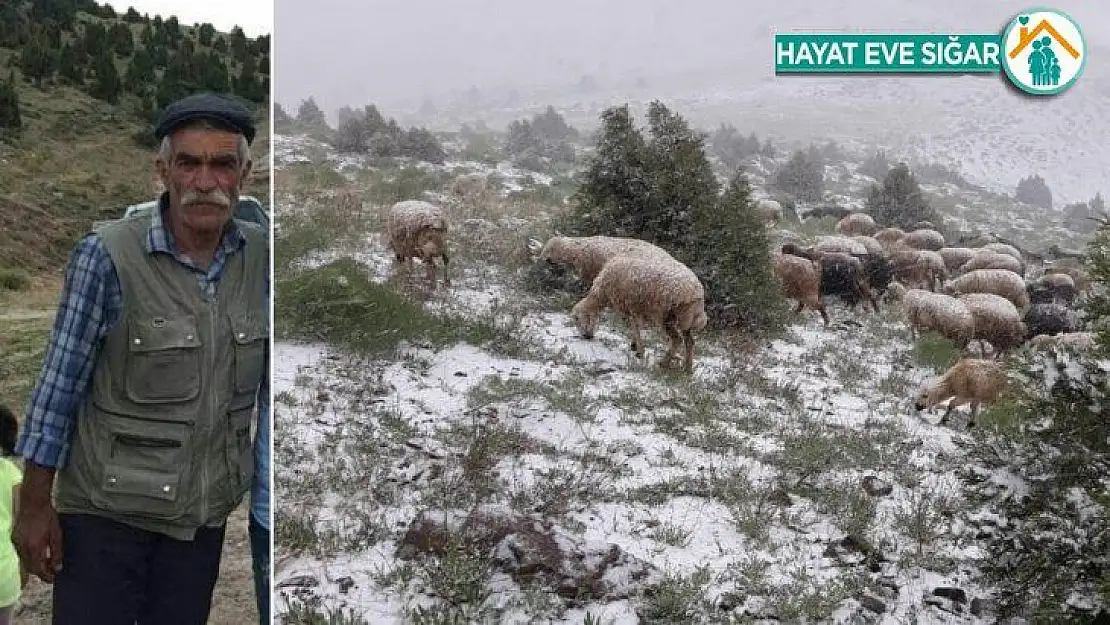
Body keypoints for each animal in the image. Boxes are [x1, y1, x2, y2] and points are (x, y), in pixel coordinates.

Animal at [568, 254, 705, 370]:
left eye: (576, 318)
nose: (586, 336)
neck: (601, 294)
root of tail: (696, 292)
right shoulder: (635, 308)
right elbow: (635, 326)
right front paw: (635, 346)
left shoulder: (632, 306)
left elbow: (635, 326)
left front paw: (639, 350)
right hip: (685, 319)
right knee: (689, 341)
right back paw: (688, 368)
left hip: (665, 316)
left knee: (677, 339)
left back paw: (663, 363)